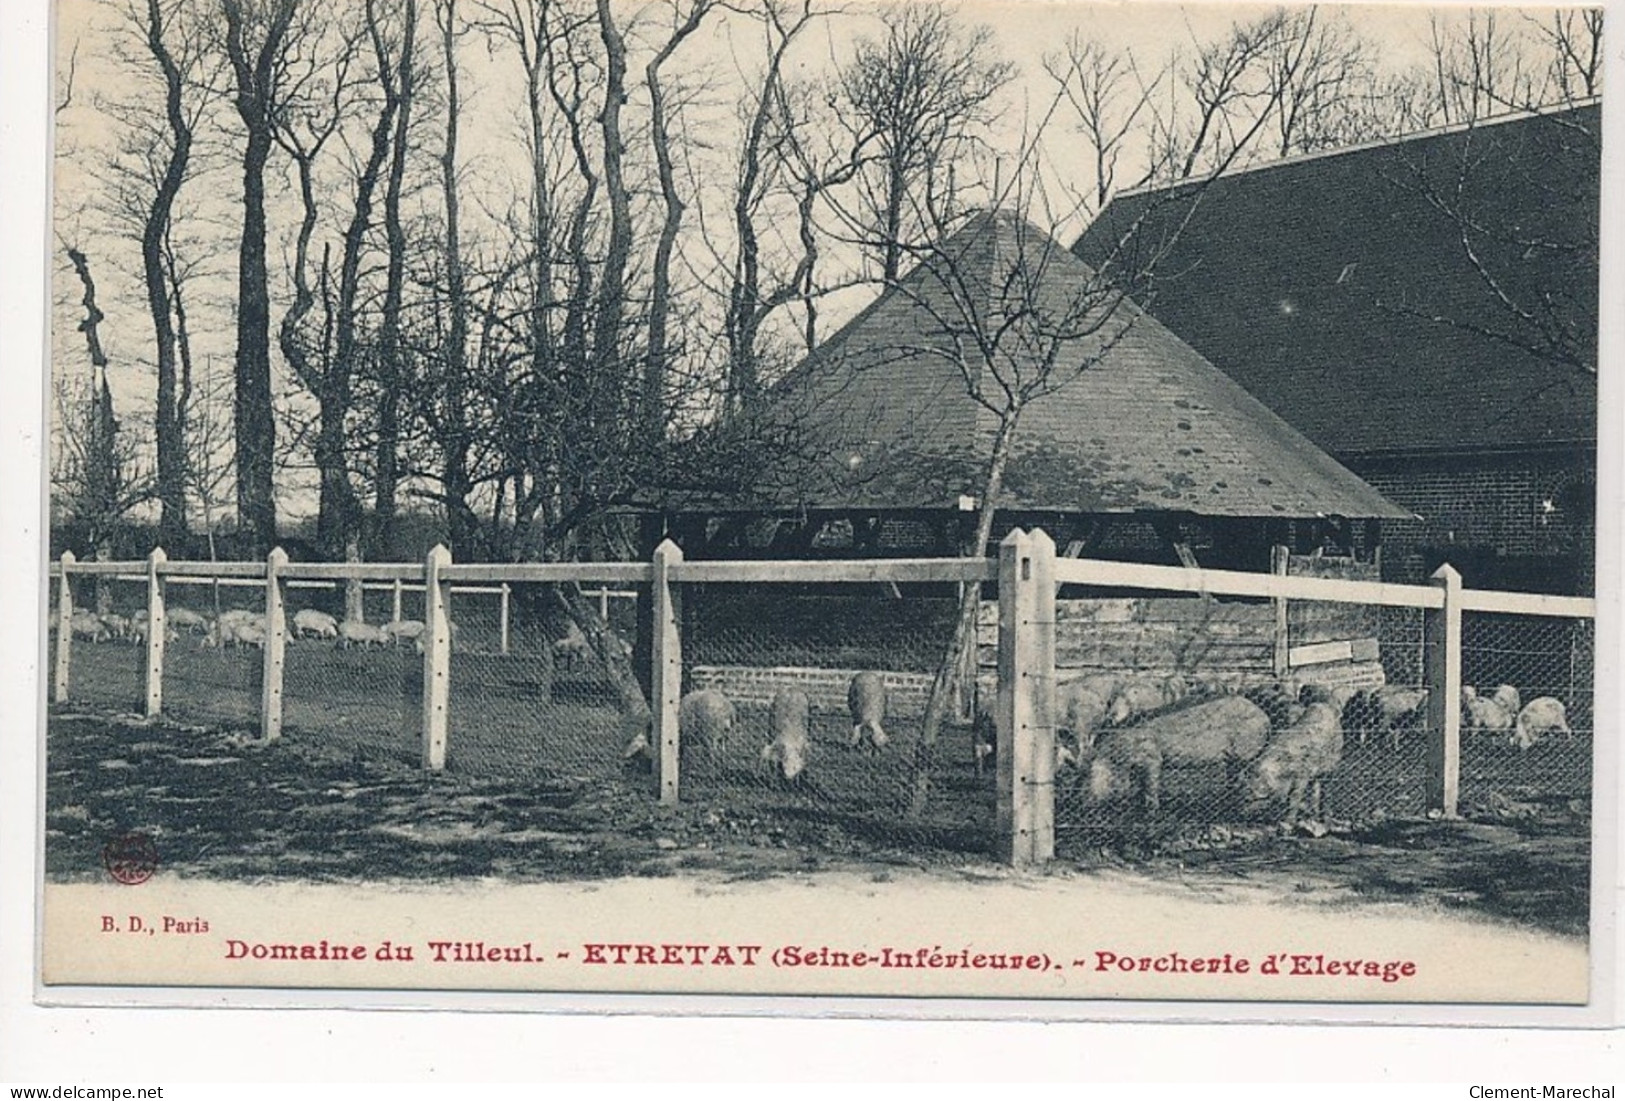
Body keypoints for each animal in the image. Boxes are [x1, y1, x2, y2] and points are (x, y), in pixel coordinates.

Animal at [1085, 698, 1274, 818]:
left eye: (1100, 773)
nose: (1086, 803)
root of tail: (1264, 716)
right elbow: (1140, 787)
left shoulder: (1153, 758)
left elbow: (1150, 787)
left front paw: (1151, 814)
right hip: (1232, 759)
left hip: (1246, 751)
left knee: (1249, 778)